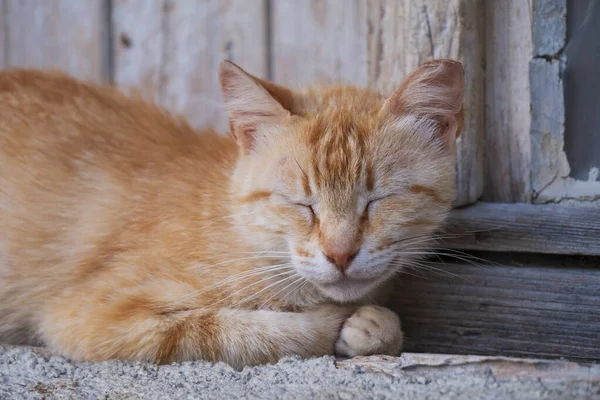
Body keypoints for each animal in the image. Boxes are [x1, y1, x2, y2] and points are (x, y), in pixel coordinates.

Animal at [0, 57, 464, 368]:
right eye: (302, 204)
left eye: (377, 199)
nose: (340, 254)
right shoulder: (90, 316)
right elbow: (242, 331)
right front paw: (335, 322)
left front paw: (376, 327)